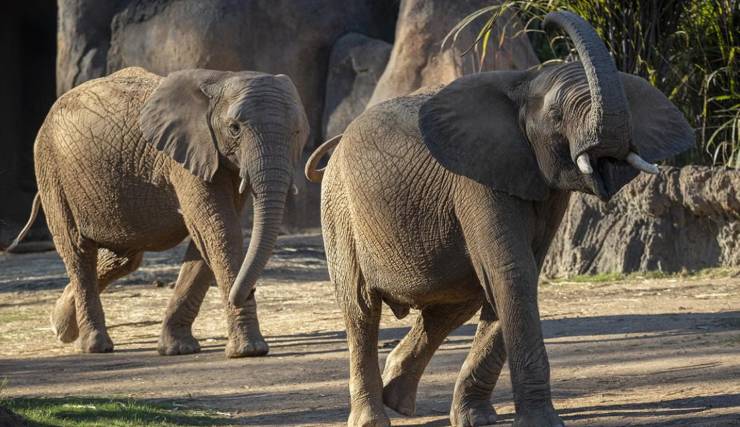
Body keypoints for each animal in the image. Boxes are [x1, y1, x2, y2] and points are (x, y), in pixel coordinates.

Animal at [10, 66, 309, 357]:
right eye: (234, 128)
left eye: (297, 132)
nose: (248, 291)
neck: (222, 78)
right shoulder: (185, 158)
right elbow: (219, 231)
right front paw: (249, 351)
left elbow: (205, 241)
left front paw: (177, 349)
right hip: (52, 170)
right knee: (79, 251)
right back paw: (94, 345)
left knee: (124, 258)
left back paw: (60, 326)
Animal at [303, 11, 694, 427]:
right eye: (556, 116)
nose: (548, 18)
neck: (524, 82)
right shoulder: (475, 179)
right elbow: (512, 272)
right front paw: (541, 422)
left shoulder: (544, 188)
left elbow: (515, 277)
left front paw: (476, 419)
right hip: (339, 207)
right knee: (361, 307)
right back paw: (373, 417)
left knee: (454, 303)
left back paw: (398, 397)